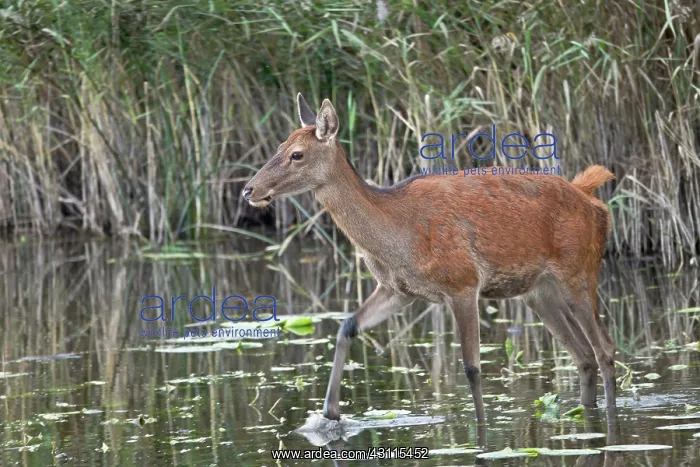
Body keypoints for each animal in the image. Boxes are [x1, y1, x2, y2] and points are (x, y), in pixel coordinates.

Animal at [242, 93, 618, 424]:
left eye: (296, 154)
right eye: (278, 147)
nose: (249, 189)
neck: (398, 237)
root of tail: (592, 200)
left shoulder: (463, 282)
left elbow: (471, 367)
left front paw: (481, 426)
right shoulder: (398, 290)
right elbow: (346, 325)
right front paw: (329, 414)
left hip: (579, 272)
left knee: (604, 348)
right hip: (539, 292)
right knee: (584, 356)